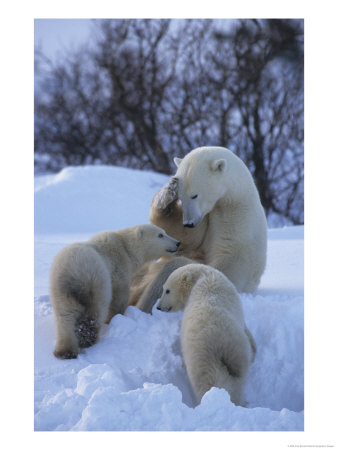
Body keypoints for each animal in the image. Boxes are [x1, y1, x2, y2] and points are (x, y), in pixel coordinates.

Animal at [131, 146, 268, 312]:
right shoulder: (204, 221)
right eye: (181, 197)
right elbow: (183, 236)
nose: (189, 222)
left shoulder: (237, 220)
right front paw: (167, 193)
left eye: (194, 195)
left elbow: (229, 262)